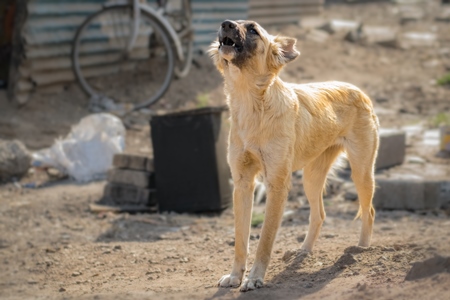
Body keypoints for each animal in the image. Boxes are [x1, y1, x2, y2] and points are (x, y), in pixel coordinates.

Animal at [209, 19, 378, 292]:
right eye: (232, 23)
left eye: (253, 29)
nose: (225, 24)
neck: (252, 105)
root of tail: (356, 88)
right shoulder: (243, 183)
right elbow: (240, 240)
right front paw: (235, 275)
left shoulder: (277, 184)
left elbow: (265, 239)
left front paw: (254, 278)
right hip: (311, 177)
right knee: (319, 215)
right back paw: (303, 251)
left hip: (361, 172)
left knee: (368, 211)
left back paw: (360, 249)